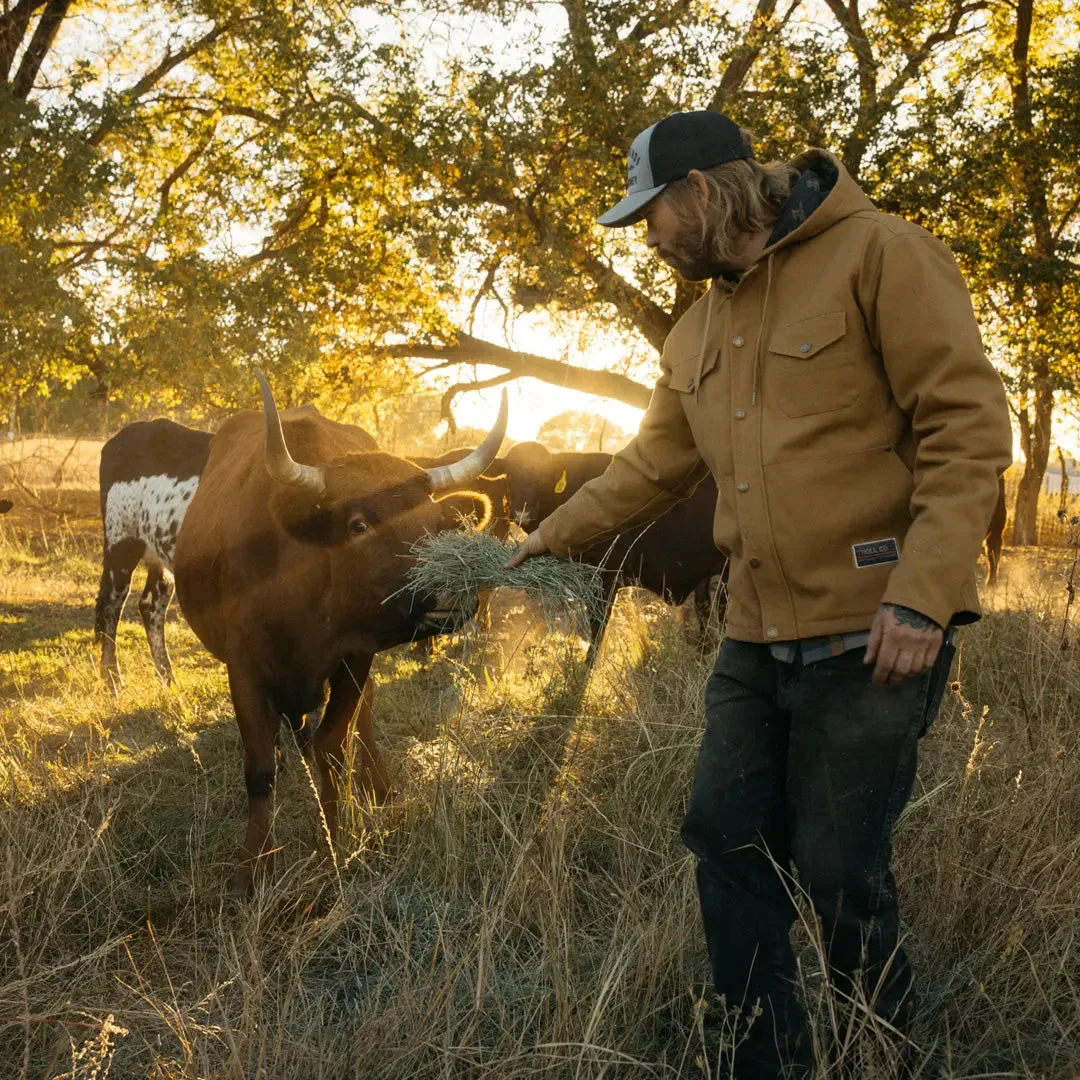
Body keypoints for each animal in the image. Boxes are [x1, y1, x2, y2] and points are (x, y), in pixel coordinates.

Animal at [172, 373, 505, 894]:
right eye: (359, 524)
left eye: (435, 523)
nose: (452, 593)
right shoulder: (243, 667)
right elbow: (259, 768)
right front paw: (252, 867)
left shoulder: (355, 655)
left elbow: (333, 746)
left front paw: (336, 842)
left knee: (361, 715)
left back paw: (379, 786)